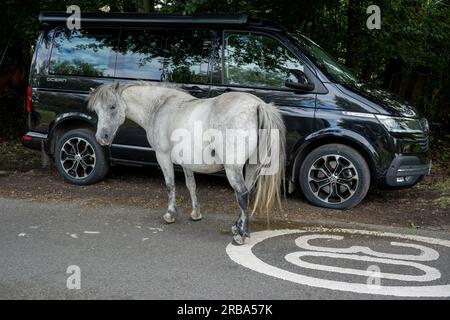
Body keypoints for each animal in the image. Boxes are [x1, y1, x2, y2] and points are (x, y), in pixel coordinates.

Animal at [87, 81, 284, 244]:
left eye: (112, 106)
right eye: (96, 110)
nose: (102, 138)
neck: (159, 107)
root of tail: (257, 105)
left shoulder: (163, 156)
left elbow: (170, 185)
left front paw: (170, 214)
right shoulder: (186, 162)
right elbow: (191, 186)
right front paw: (196, 213)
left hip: (233, 168)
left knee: (242, 194)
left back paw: (241, 235)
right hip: (251, 166)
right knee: (245, 194)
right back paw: (237, 227)